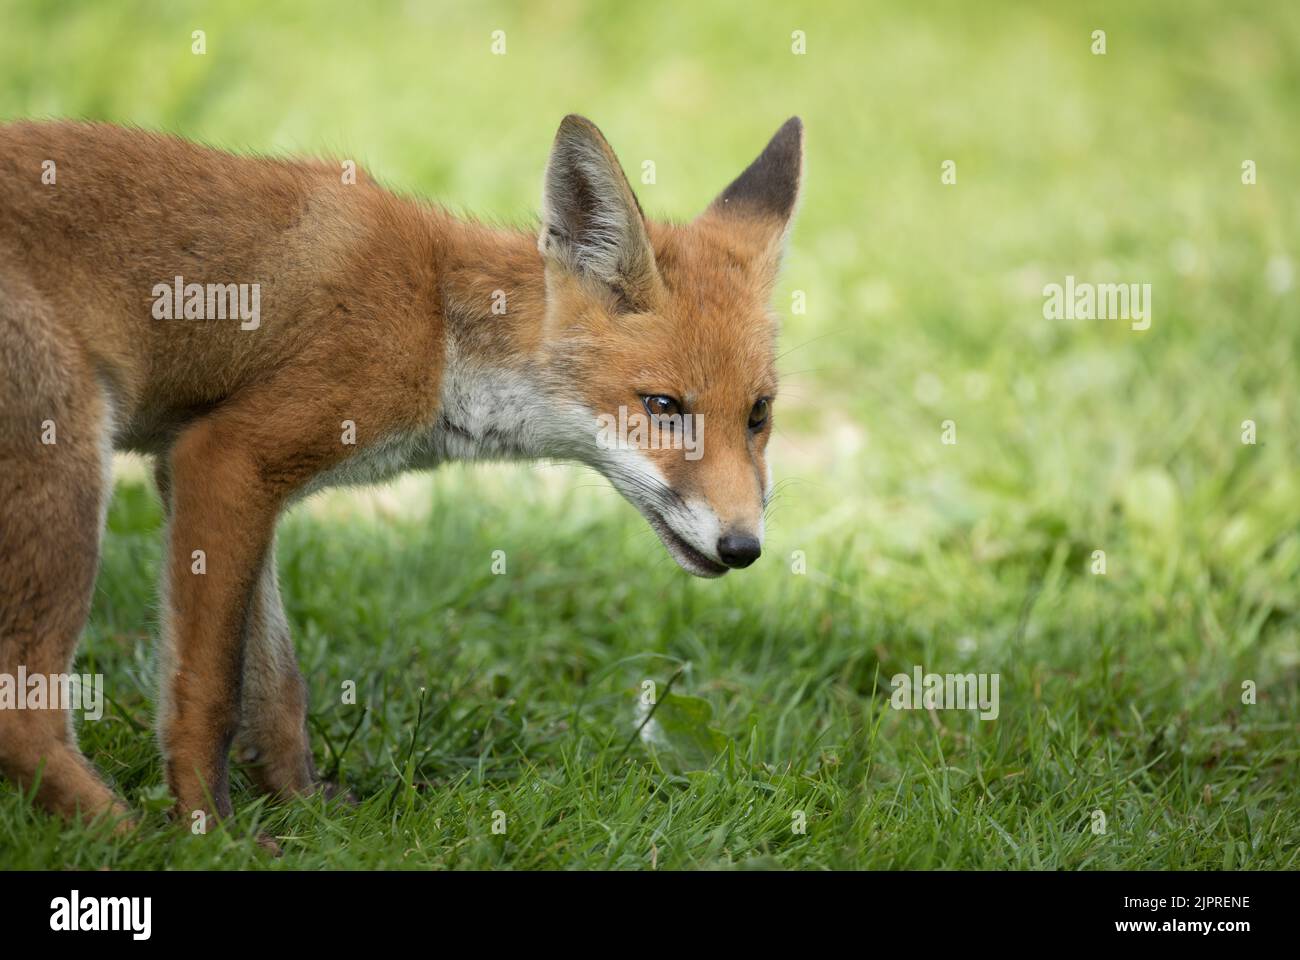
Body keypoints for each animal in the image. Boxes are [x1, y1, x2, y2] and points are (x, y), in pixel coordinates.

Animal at [0, 114, 802, 828]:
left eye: (759, 413)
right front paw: (209, 830)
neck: (437, 321)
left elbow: (277, 687)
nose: (743, 548)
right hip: (69, 469)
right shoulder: (229, 457)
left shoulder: (197, 468)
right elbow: (211, 692)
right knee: (21, 712)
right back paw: (129, 837)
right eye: (663, 406)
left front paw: (306, 809)